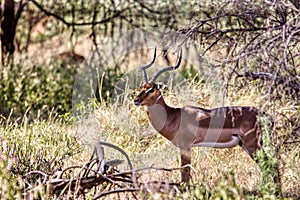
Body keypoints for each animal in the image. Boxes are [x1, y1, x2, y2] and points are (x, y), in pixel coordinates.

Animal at [134, 48, 262, 183]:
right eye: (142, 87)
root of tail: (260, 113)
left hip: (253, 145)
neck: (173, 116)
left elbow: (184, 175)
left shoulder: (185, 147)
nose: (136, 100)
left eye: (151, 89)